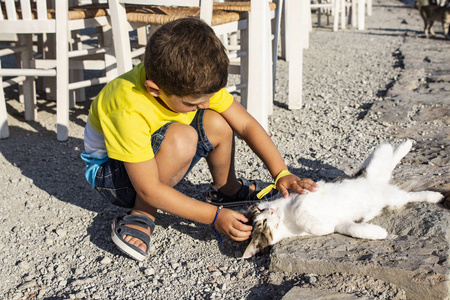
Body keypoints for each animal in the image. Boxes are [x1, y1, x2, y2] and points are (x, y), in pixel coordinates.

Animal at [243, 140, 442, 258]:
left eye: (261, 214)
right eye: (261, 224)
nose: (270, 211)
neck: (286, 220)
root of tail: (379, 184)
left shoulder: (305, 194)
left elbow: (299, 211)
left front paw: (318, 226)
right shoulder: (341, 224)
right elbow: (353, 229)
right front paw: (378, 233)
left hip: (376, 162)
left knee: (387, 150)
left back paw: (405, 144)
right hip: (394, 199)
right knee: (410, 194)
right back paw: (435, 196)